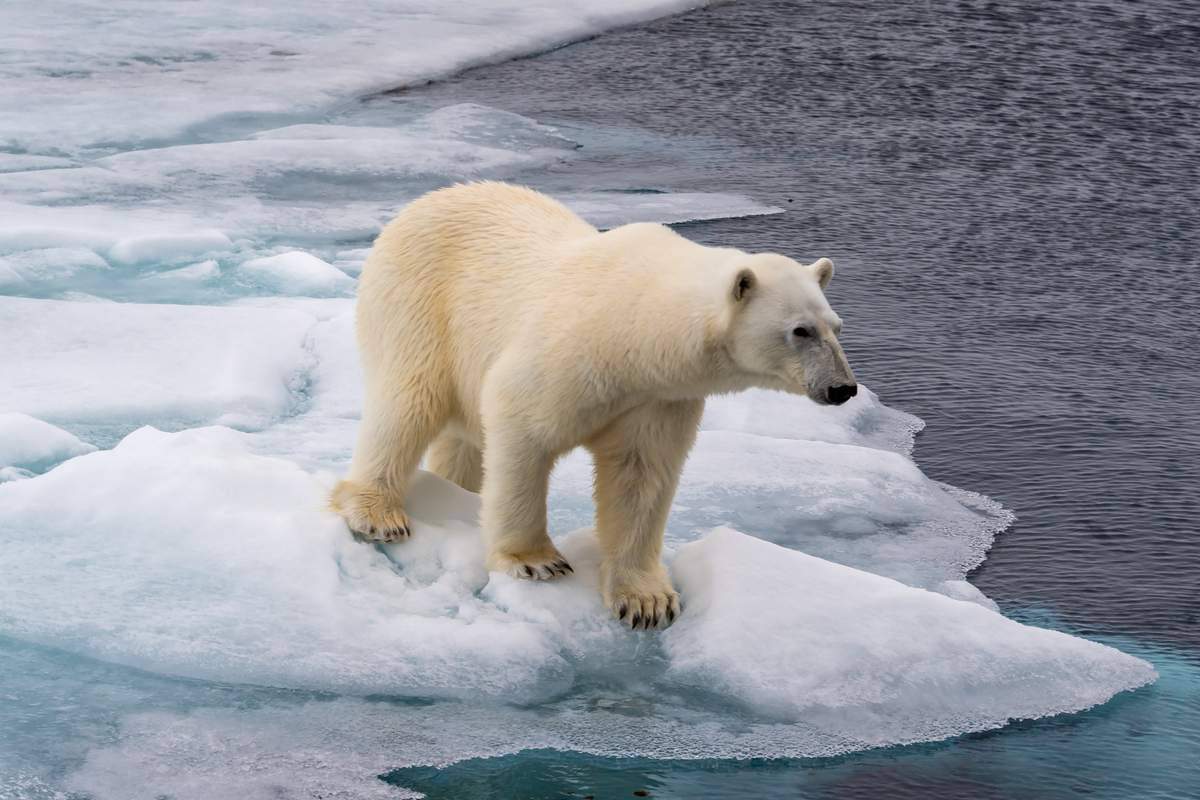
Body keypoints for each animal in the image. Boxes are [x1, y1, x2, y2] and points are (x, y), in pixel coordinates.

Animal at [331, 183, 854, 633]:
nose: (843, 388)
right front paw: (536, 561)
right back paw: (377, 512)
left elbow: (641, 475)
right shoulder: (570, 353)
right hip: (419, 304)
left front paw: (646, 600)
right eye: (799, 330)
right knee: (408, 400)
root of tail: (422, 202)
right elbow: (519, 426)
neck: (637, 332)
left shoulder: (659, 397)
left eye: (836, 325)